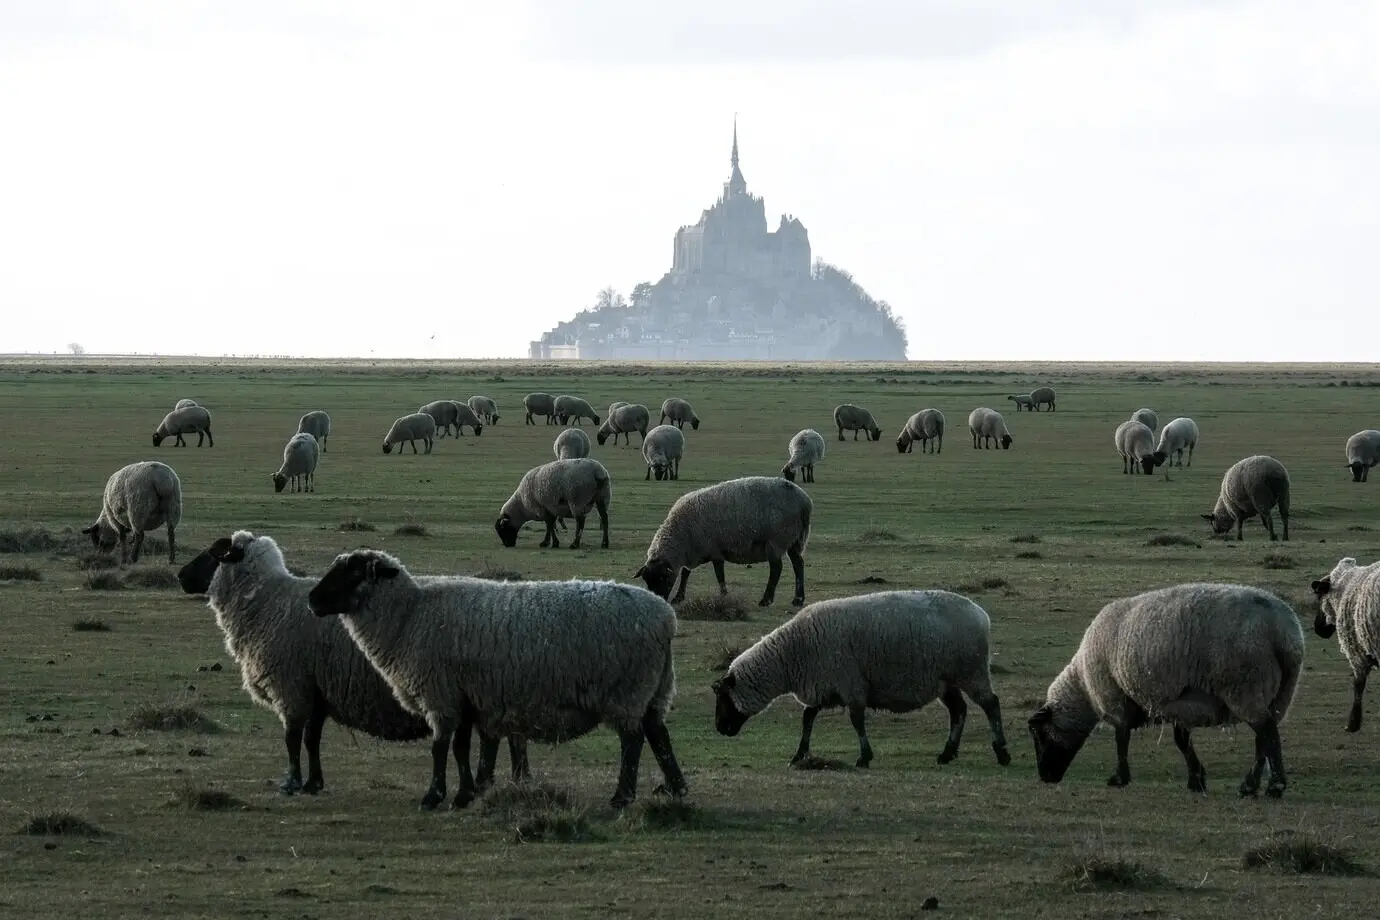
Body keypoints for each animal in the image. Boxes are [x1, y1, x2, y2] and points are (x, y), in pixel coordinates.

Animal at [177, 531, 529, 796]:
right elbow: (311, 738)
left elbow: (292, 738)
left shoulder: (291, 687)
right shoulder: (317, 690)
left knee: (503, 738)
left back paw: (500, 781)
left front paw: (291, 783)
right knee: (503, 737)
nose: (180, 576)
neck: (266, 603)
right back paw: (507, 780)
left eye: (213, 554)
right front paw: (313, 783)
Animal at [305, 549, 690, 810]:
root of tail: (665, 617)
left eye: (353, 573)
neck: (409, 616)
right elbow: (463, 747)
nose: (311, 600)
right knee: (659, 733)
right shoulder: (465, 696)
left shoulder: (442, 695)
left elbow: (440, 747)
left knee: (633, 740)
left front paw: (434, 796)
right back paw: (676, 788)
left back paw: (622, 796)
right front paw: (466, 793)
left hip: (628, 690)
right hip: (655, 688)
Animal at [635, 475, 811, 608]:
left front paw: (723, 596)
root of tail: (804, 501)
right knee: (798, 565)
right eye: (646, 580)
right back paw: (798, 599)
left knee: (776, 569)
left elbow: (719, 574)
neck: (681, 536)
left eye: (662, 578)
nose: (655, 601)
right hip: (795, 540)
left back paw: (766, 600)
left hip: (776, 540)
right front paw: (679, 597)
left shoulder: (715, 550)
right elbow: (686, 573)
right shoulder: (694, 552)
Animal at [712, 590, 1011, 770]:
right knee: (959, 710)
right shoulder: (824, 685)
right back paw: (947, 754)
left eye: (724, 698)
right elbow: (807, 719)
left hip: (971, 671)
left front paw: (864, 757)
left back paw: (1002, 753)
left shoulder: (850, 683)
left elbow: (856, 720)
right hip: (946, 680)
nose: (720, 729)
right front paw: (799, 755)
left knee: (991, 705)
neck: (792, 653)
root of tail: (981, 614)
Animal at [1028, 583, 1304, 798]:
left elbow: (1121, 738)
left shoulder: (1115, 697)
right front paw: (1196, 779)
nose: (1045, 777)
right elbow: (1181, 741)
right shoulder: (1179, 703)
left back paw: (1274, 786)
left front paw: (1119, 778)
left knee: (1267, 733)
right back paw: (1251, 785)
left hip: (1245, 686)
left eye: (1038, 734)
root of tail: (1283, 632)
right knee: (1264, 737)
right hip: (1279, 693)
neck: (1083, 686)